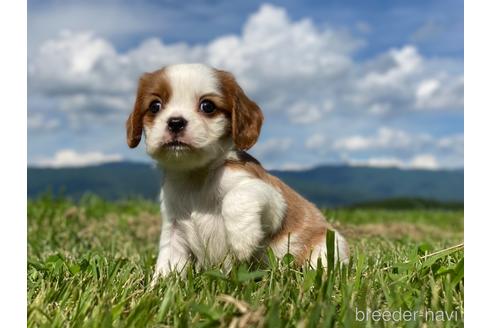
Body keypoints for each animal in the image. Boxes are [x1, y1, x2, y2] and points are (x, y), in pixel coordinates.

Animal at [127, 62, 350, 278]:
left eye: (207, 106)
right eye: (155, 106)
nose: (175, 122)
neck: (196, 175)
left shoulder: (272, 197)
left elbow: (238, 196)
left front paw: (243, 239)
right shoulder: (174, 228)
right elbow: (168, 262)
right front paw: (159, 285)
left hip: (329, 245)